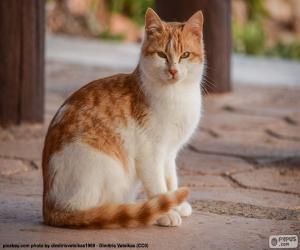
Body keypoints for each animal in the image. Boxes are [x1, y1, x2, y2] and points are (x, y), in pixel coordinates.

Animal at [42, 7, 205, 229]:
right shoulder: (150, 153)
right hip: (107, 167)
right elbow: (158, 186)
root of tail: (49, 207)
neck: (178, 95)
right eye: (162, 54)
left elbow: (171, 180)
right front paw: (166, 212)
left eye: (185, 55)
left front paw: (177, 204)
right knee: (98, 211)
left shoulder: (170, 153)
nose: (172, 70)